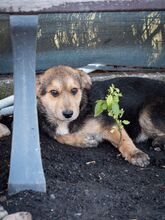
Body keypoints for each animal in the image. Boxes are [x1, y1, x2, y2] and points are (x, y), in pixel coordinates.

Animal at [36, 65, 165, 167]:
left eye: (74, 90)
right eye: (54, 92)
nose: (68, 114)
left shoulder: (111, 124)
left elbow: (124, 139)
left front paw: (135, 154)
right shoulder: (50, 130)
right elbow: (60, 136)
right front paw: (85, 140)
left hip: (146, 114)